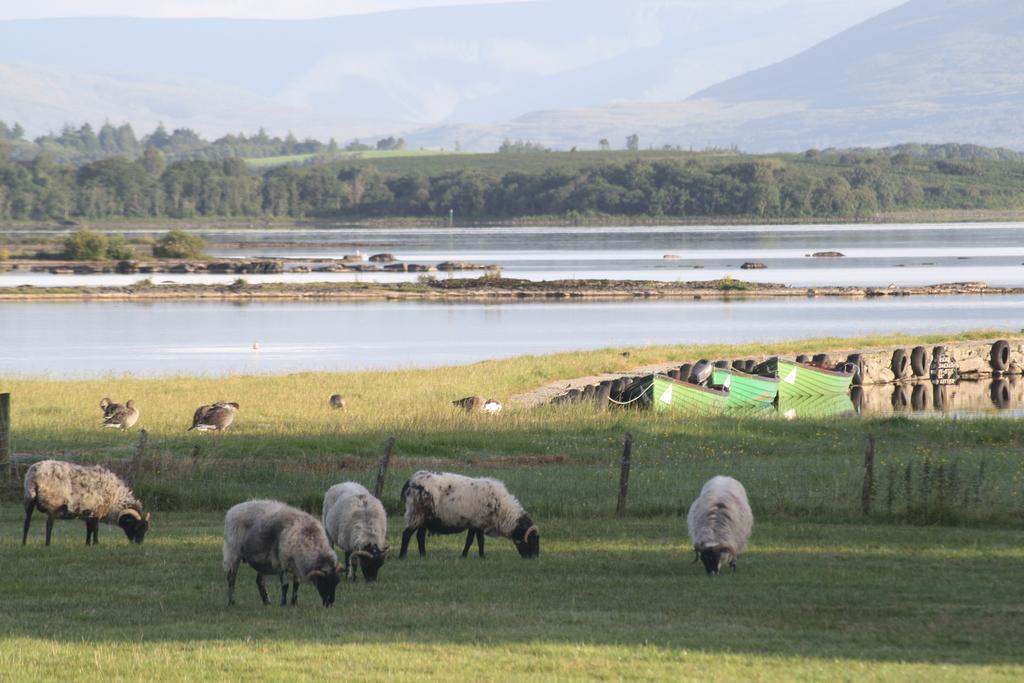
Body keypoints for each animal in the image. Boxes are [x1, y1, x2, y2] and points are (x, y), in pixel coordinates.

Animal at [395, 471, 540, 561]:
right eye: (533, 540)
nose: (535, 558)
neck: (502, 509)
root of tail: (411, 481)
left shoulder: (474, 523)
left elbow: (471, 540)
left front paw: (465, 555)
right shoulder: (478, 521)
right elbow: (479, 541)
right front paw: (481, 556)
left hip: (424, 518)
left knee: (420, 536)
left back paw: (423, 556)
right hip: (417, 514)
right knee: (406, 534)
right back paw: (402, 556)